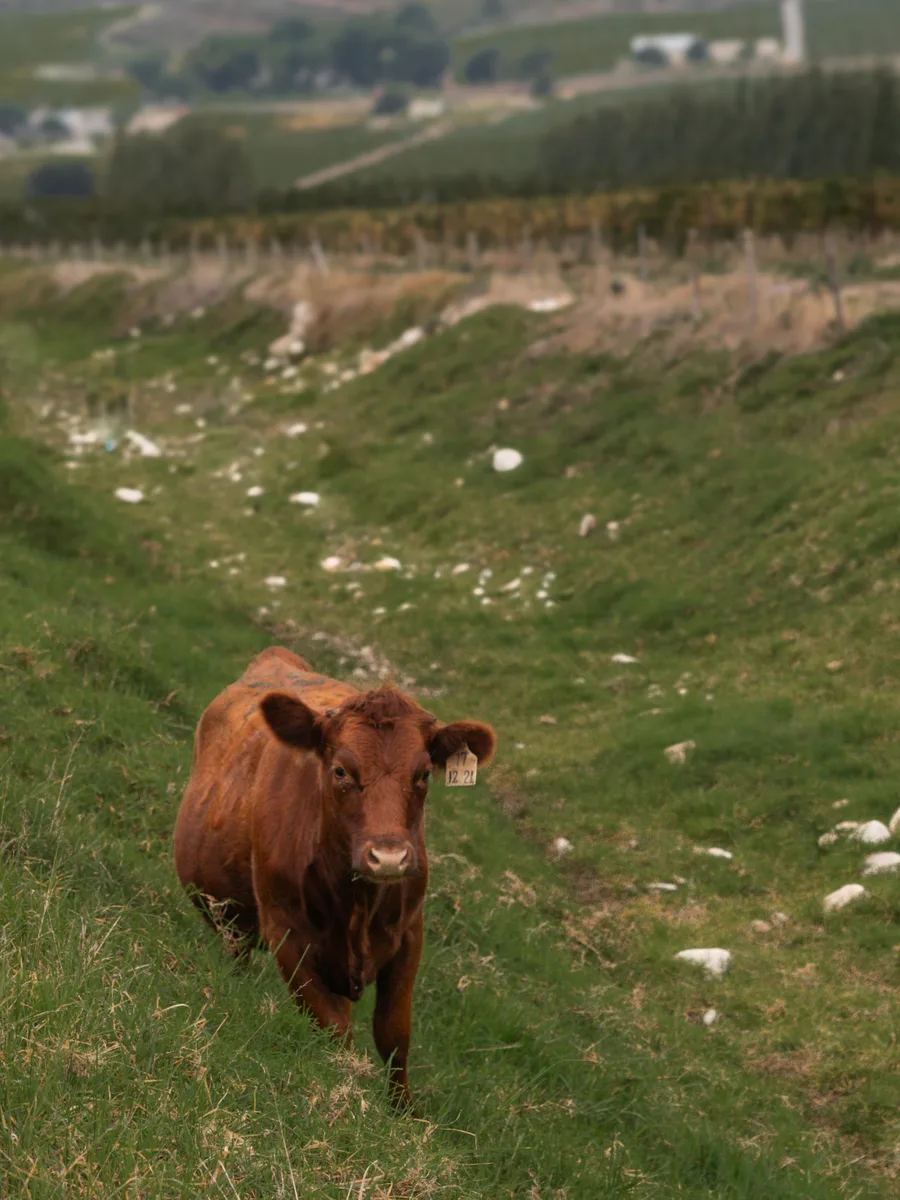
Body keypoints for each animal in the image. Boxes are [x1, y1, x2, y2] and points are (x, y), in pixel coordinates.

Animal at [174, 646, 496, 1108]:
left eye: (423, 775)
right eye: (341, 771)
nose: (389, 857)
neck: (358, 904)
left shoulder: (410, 933)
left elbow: (394, 1034)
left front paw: (404, 1112)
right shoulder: (287, 934)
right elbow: (334, 1029)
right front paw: (350, 1090)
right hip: (231, 917)